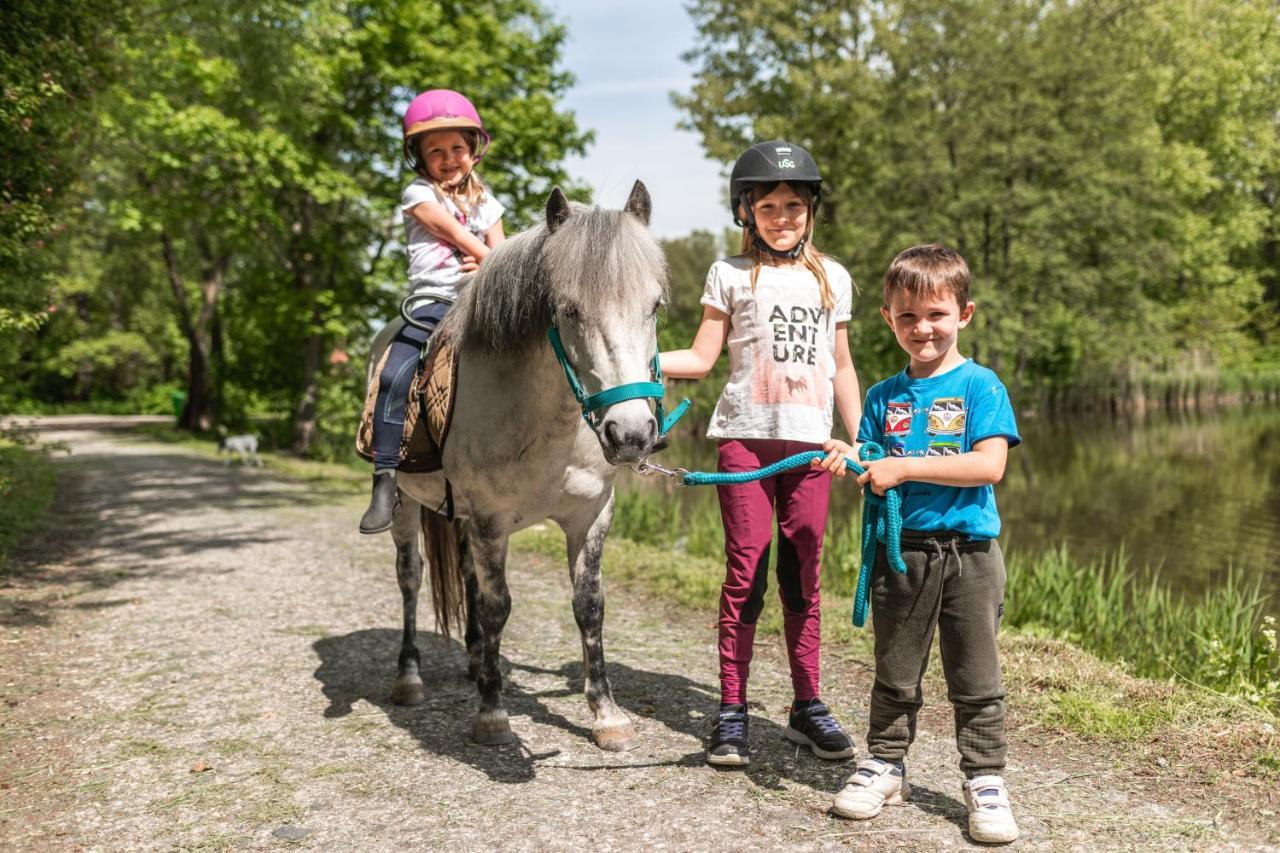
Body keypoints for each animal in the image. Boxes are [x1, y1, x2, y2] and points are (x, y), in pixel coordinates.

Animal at [368, 183, 665, 747]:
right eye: (569, 310)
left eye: (655, 306)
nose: (632, 434)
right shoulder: (491, 519)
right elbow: (497, 606)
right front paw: (492, 712)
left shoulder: (591, 516)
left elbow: (589, 606)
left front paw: (606, 713)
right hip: (405, 507)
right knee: (410, 578)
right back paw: (408, 675)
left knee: (464, 574)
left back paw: (474, 659)